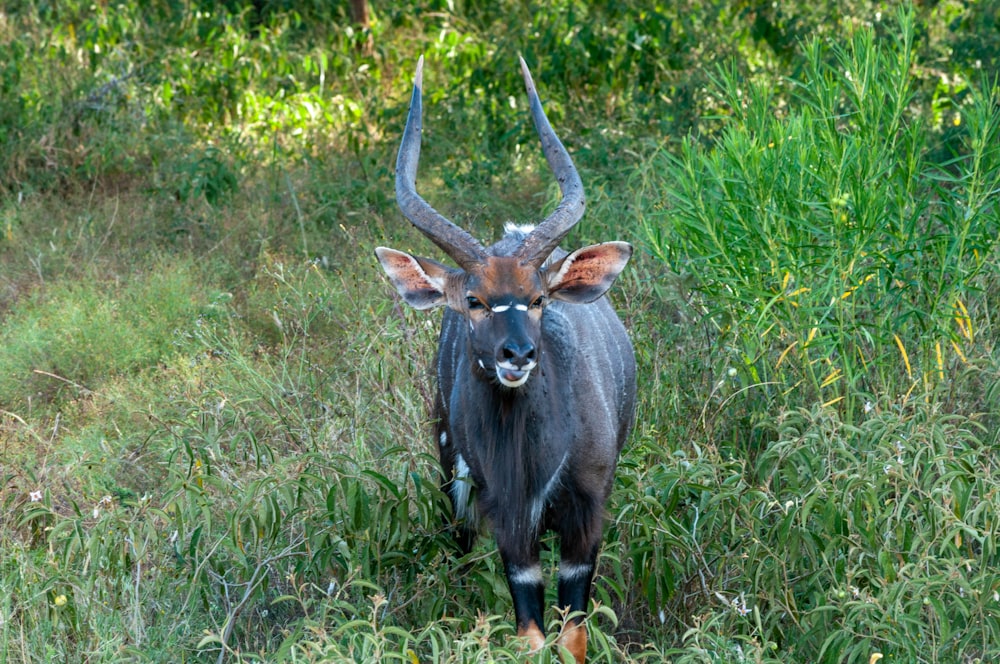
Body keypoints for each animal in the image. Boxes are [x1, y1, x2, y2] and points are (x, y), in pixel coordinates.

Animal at [376, 57, 632, 664]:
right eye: (474, 300)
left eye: (537, 299)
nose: (518, 354)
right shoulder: (510, 521)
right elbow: (531, 634)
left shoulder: (587, 511)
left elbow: (572, 633)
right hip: (452, 477)